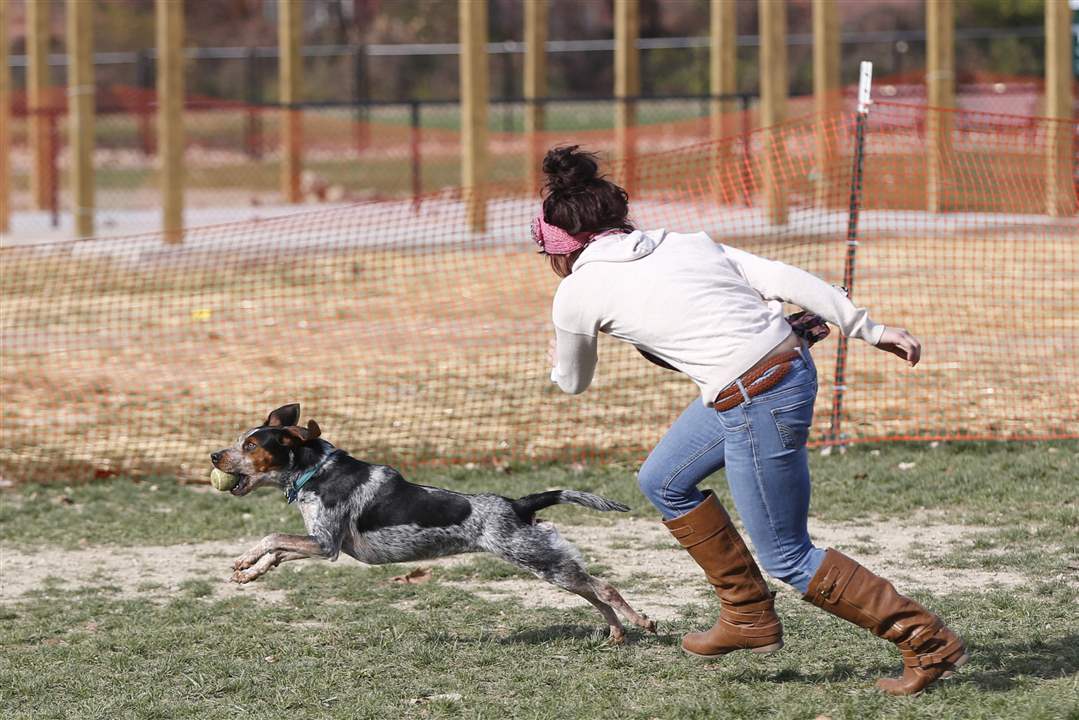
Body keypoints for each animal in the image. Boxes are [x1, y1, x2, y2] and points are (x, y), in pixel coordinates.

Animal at [206, 403, 651, 643]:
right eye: (239, 440)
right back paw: (617, 635)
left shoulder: (326, 543)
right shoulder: (320, 543)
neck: (315, 470)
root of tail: (519, 504)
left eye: (250, 445)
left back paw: (641, 621)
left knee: (604, 588)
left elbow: (272, 536)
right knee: (593, 592)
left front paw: (244, 559)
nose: (213, 455)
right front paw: (249, 572)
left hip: (540, 558)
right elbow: (277, 552)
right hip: (548, 563)